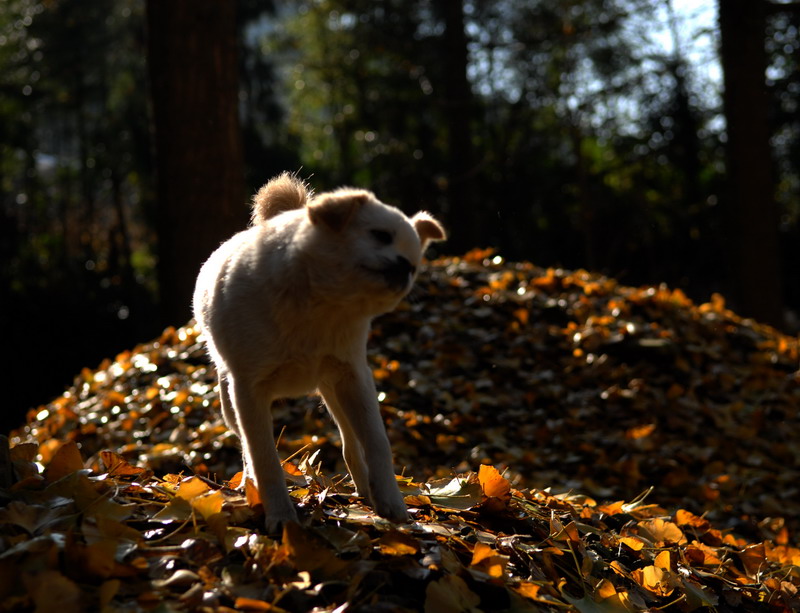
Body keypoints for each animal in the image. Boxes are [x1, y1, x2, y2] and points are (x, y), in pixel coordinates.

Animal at [191, 172, 446, 532]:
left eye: (416, 262)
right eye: (380, 235)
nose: (406, 268)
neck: (320, 307)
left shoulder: (355, 377)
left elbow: (377, 442)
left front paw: (392, 502)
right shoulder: (248, 391)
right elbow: (264, 456)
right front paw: (281, 517)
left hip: (335, 391)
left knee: (350, 443)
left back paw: (366, 491)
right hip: (231, 403)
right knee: (246, 446)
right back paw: (250, 486)